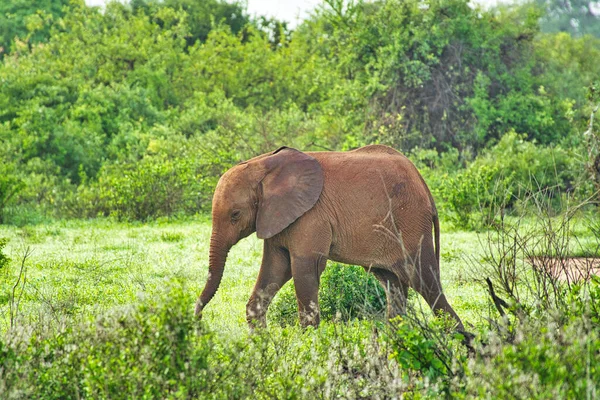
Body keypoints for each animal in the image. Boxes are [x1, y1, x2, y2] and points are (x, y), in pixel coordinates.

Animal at [197, 145, 464, 332]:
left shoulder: (311, 216)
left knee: (427, 284)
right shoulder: (276, 217)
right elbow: (275, 268)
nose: (197, 320)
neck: (263, 165)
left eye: (235, 215)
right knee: (394, 286)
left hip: (410, 222)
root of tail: (424, 185)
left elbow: (305, 268)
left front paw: (309, 345)